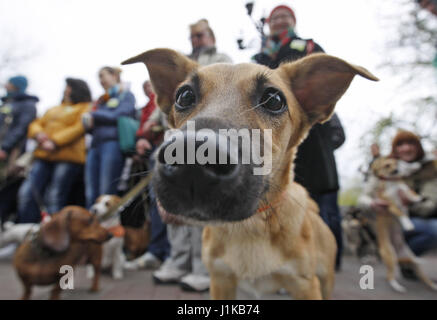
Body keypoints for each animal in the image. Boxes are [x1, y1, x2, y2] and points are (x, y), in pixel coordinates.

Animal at [121, 48, 376, 298]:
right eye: (184, 96)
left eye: (274, 100)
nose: (193, 159)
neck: (250, 226)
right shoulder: (220, 280)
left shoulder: (305, 285)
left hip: (325, 280)